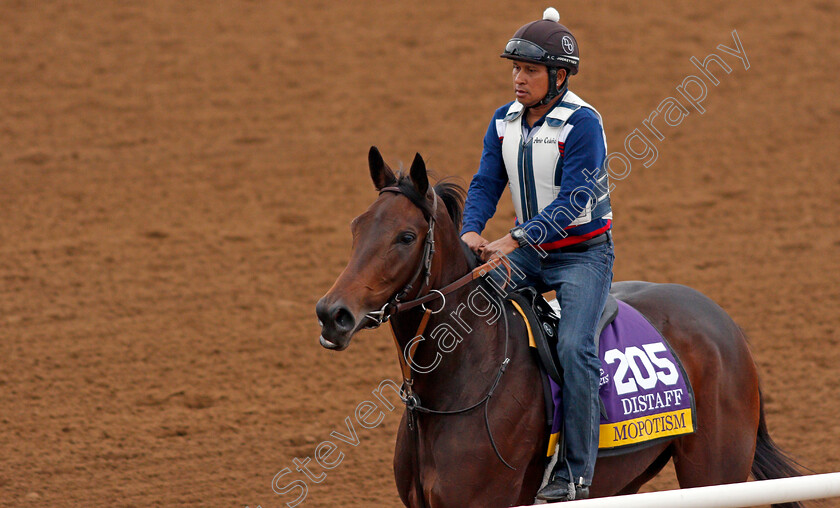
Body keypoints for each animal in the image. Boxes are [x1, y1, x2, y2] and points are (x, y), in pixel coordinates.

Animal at [316, 145, 808, 506]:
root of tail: (725, 324)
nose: (332, 313)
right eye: (357, 227)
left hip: (714, 474)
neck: (459, 387)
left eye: (405, 237)